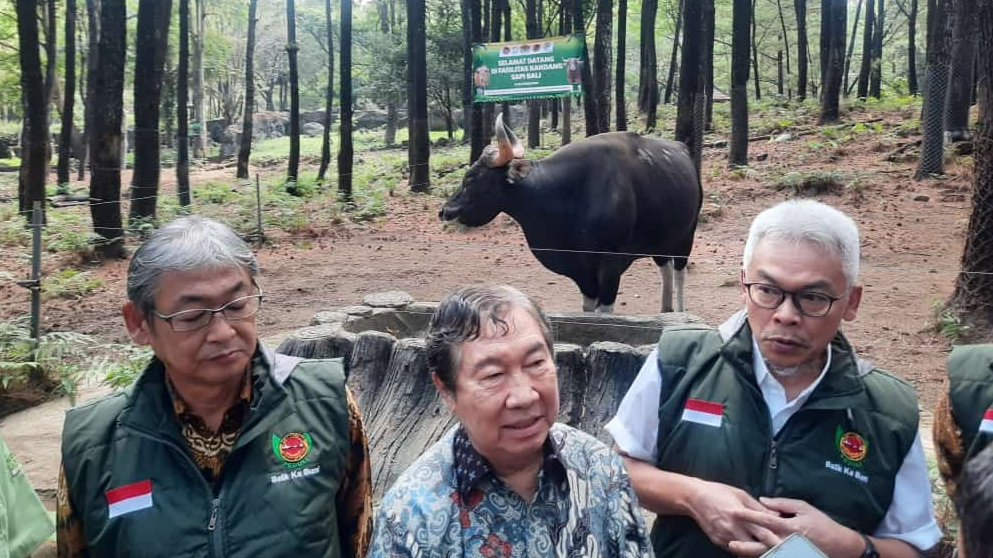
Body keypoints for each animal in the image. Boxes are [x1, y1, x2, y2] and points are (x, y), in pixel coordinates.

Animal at [438, 131, 700, 316]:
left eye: (471, 177)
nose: (445, 210)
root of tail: (683, 150)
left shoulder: (610, 264)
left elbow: (604, 313)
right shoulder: (582, 272)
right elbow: (587, 310)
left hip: (686, 236)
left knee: (679, 272)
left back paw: (680, 313)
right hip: (660, 241)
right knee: (665, 268)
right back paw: (665, 312)